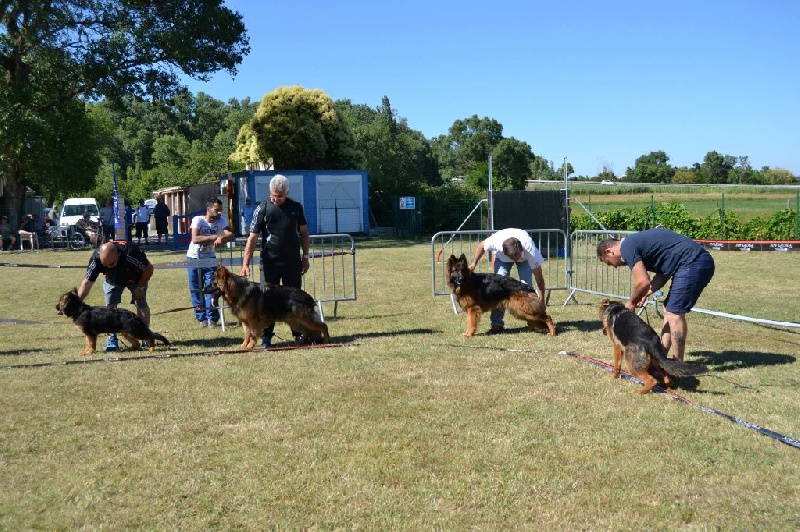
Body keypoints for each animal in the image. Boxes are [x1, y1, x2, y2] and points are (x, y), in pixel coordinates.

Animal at [206, 262, 334, 350]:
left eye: (213, 283)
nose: (202, 290)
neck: (238, 290)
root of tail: (308, 296)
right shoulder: (245, 322)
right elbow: (246, 335)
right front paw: (244, 346)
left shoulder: (253, 322)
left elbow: (253, 335)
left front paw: (250, 347)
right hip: (295, 322)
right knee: (308, 331)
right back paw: (300, 342)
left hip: (305, 320)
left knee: (323, 326)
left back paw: (327, 340)